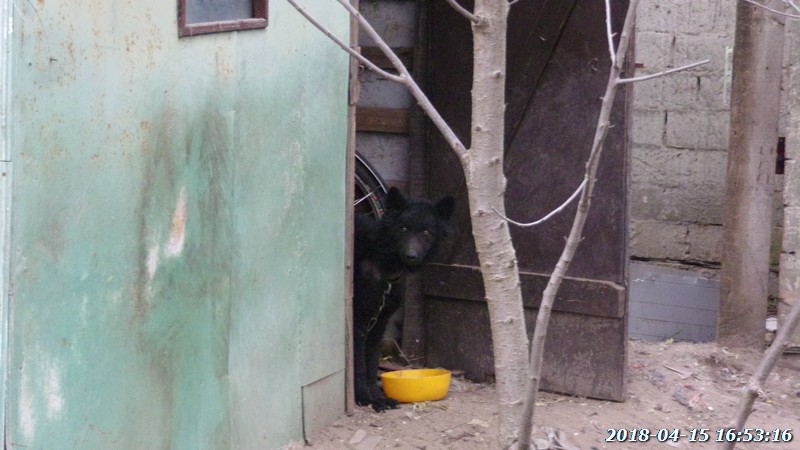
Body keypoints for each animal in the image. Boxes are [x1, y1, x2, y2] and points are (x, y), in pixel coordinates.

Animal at [353, 187, 454, 411]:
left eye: (426, 232)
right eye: (404, 228)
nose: (412, 256)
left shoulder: (378, 325)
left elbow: (371, 364)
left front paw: (378, 397)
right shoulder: (358, 324)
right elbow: (360, 366)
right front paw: (365, 398)